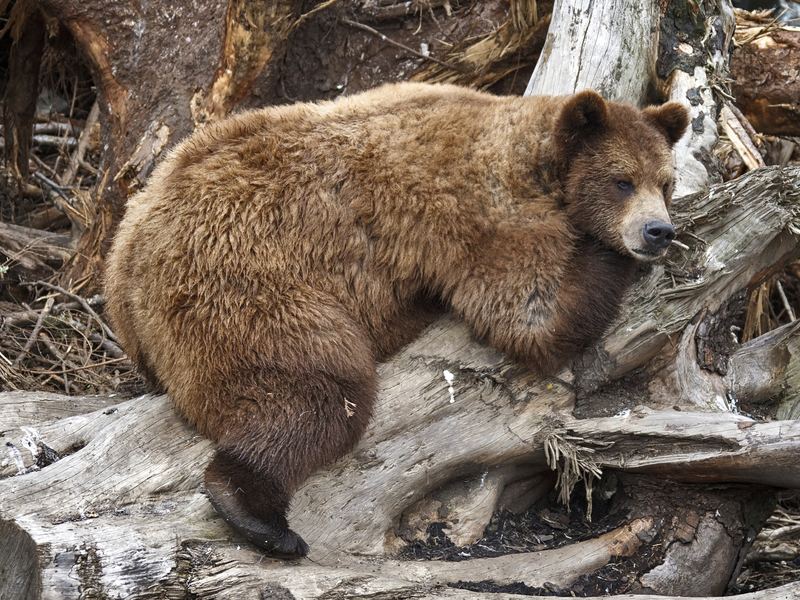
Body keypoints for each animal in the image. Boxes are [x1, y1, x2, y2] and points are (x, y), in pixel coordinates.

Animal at [104, 82, 688, 558]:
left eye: (665, 181)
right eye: (621, 181)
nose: (658, 231)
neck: (539, 165)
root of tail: (123, 264)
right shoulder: (483, 214)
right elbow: (530, 314)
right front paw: (606, 252)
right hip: (248, 283)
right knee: (319, 391)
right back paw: (260, 517)